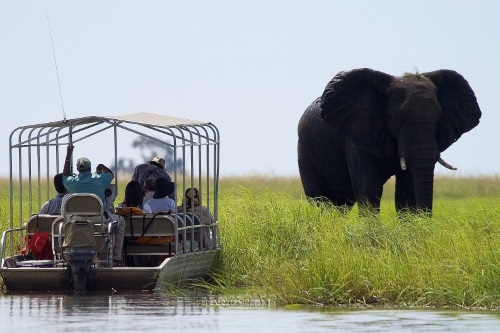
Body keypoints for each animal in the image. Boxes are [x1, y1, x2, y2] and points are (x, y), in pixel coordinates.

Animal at [296, 68, 480, 217]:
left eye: (438, 119)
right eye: (399, 119)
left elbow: (406, 194)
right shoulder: (359, 133)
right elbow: (369, 190)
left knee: (341, 204)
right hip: (305, 151)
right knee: (320, 200)